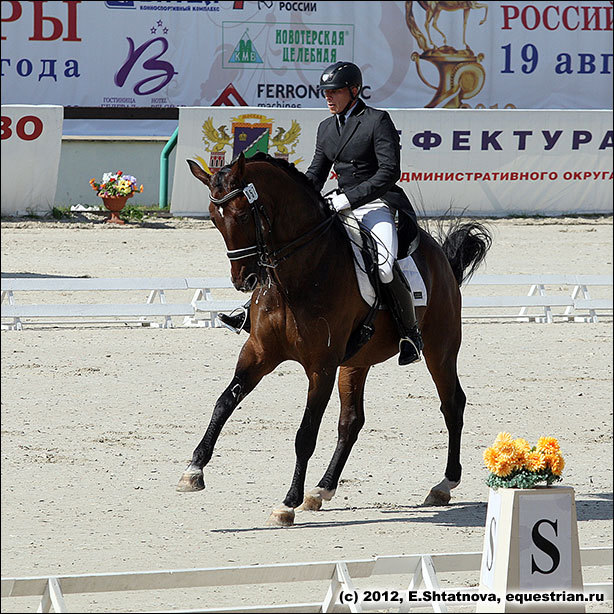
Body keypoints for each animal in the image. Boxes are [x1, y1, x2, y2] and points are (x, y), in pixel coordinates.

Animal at [180, 152, 494, 528]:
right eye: (214, 219)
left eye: (242, 214)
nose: (246, 280)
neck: (296, 278)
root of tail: (441, 259)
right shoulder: (258, 353)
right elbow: (224, 402)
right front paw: (193, 470)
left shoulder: (321, 366)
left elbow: (305, 434)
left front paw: (287, 503)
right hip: (357, 362)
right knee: (351, 422)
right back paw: (321, 490)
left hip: (439, 349)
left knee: (452, 404)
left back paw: (444, 485)